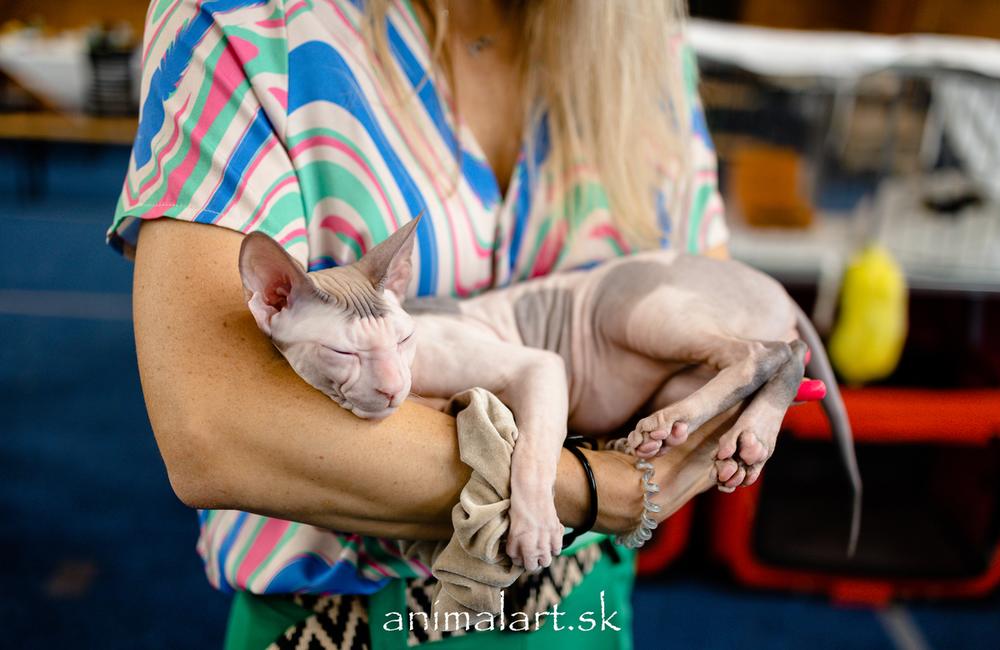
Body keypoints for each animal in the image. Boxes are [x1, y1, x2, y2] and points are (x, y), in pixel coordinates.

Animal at [240, 215, 860, 568]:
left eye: (405, 339)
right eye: (344, 354)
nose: (394, 388)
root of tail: (778, 286)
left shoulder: (538, 364)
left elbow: (534, 452)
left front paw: (535, 530)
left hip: (632, 305)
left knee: (768, 351)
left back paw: (693, 426)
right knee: (780, 355)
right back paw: (736, 435)